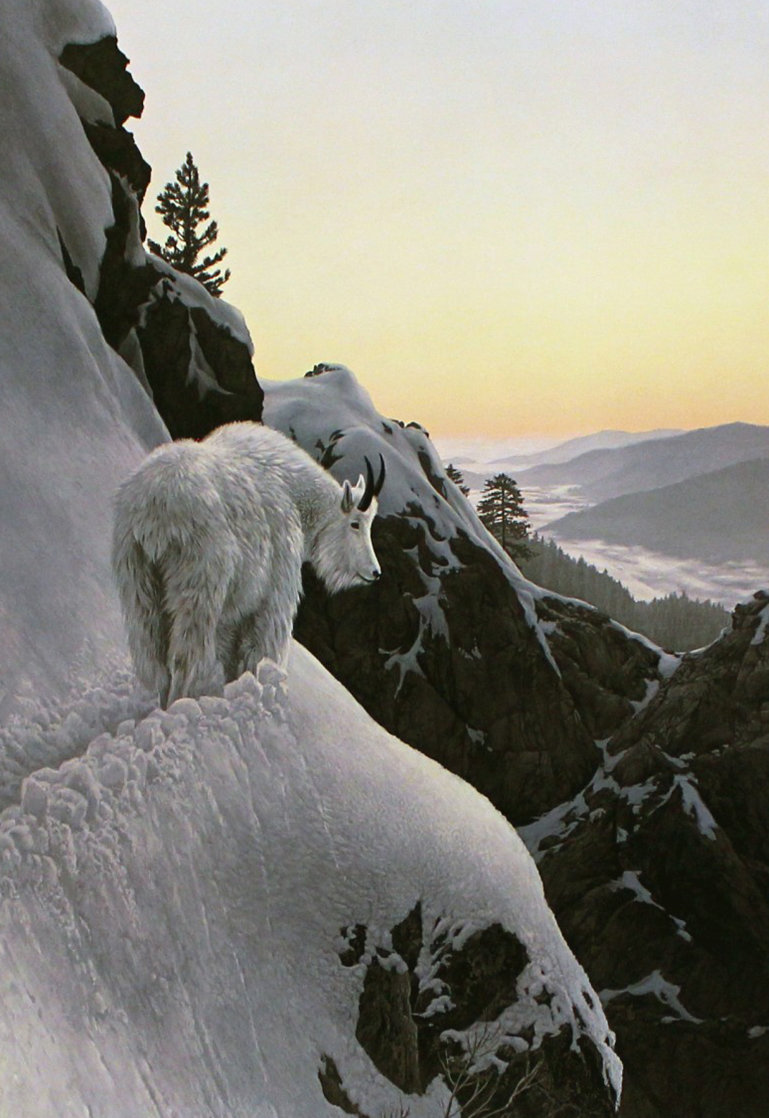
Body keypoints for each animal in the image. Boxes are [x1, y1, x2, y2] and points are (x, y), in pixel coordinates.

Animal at [111, 422, 384, 702]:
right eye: (355, 524)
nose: (375, 572)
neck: (293, 494)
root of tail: (157, 505)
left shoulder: (234, 612)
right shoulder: (274, 593)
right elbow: (264, 648)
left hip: (137, 575)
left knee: (150, 651)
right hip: (200, 579)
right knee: (185, 655)